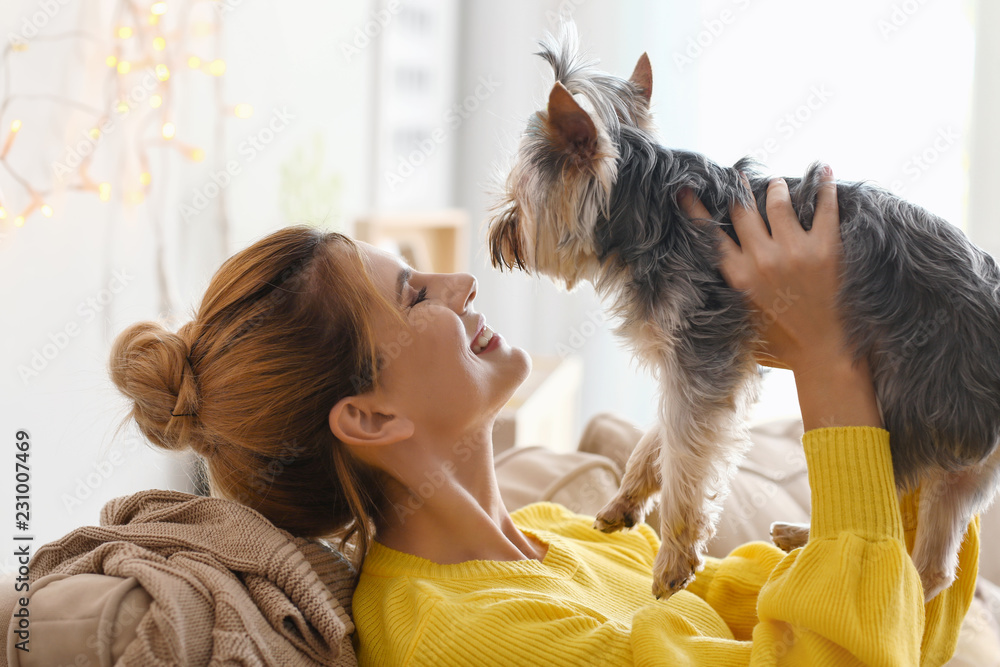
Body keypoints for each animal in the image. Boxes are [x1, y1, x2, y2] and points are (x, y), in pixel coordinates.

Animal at [488, 24, 1000, 600]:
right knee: (933, 562)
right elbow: (660, 437)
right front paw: (626, 500)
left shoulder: (703, 350)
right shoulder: (698, 362)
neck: (649, 212)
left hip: (913, 396)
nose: (498, 233)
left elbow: (687, 454)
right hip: (960, 444)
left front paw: (675, 557)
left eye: (518, 194)